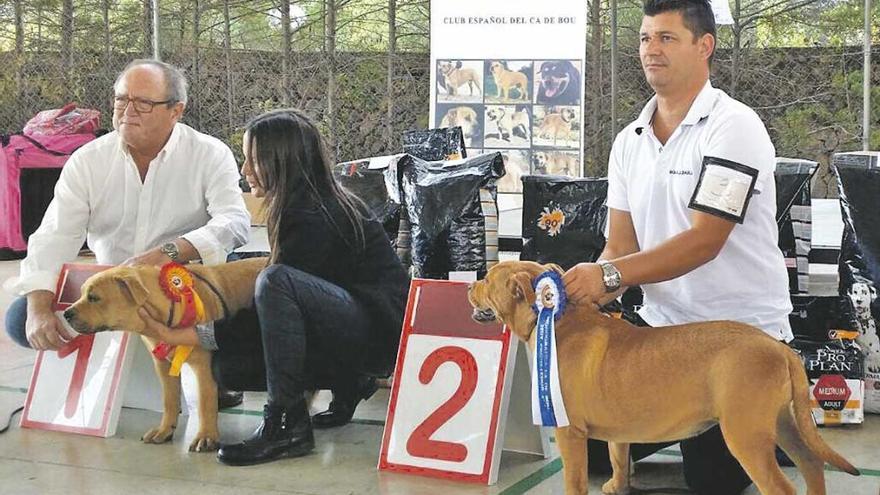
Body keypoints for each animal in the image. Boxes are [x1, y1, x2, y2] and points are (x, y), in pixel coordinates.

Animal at [64, 260, 266, 454]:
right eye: (82, 294)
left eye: (94, 297)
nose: (66, 313)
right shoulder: (162, 364)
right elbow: (169, 400)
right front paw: (164, 430)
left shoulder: (203, 367)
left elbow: (205, 403)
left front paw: (206, 437)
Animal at [468, 260, 860, 495]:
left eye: (487, 278)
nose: (470, 285)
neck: (556, 321)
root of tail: (780, 349)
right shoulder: (618, 433)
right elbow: (617, 460)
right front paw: (617, 486)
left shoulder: (570, 431)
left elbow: (575, 482)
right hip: (781, 423)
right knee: (811, 463)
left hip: (746, 435)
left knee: (782, 486)